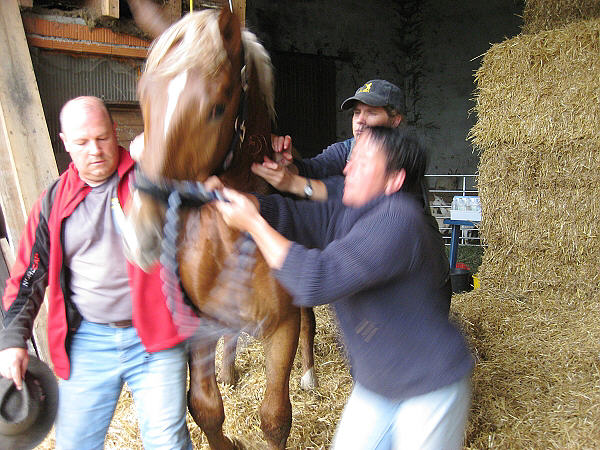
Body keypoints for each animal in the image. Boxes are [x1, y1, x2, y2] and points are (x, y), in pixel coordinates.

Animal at [121, 1, 318, 448]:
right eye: (143, 99)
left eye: (216, 107)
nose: (142, 230)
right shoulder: (198, 323)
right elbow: (205, 408)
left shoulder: (283, 324)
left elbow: (275, 418)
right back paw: (228, 372)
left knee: (311, 323)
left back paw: (309, 375)